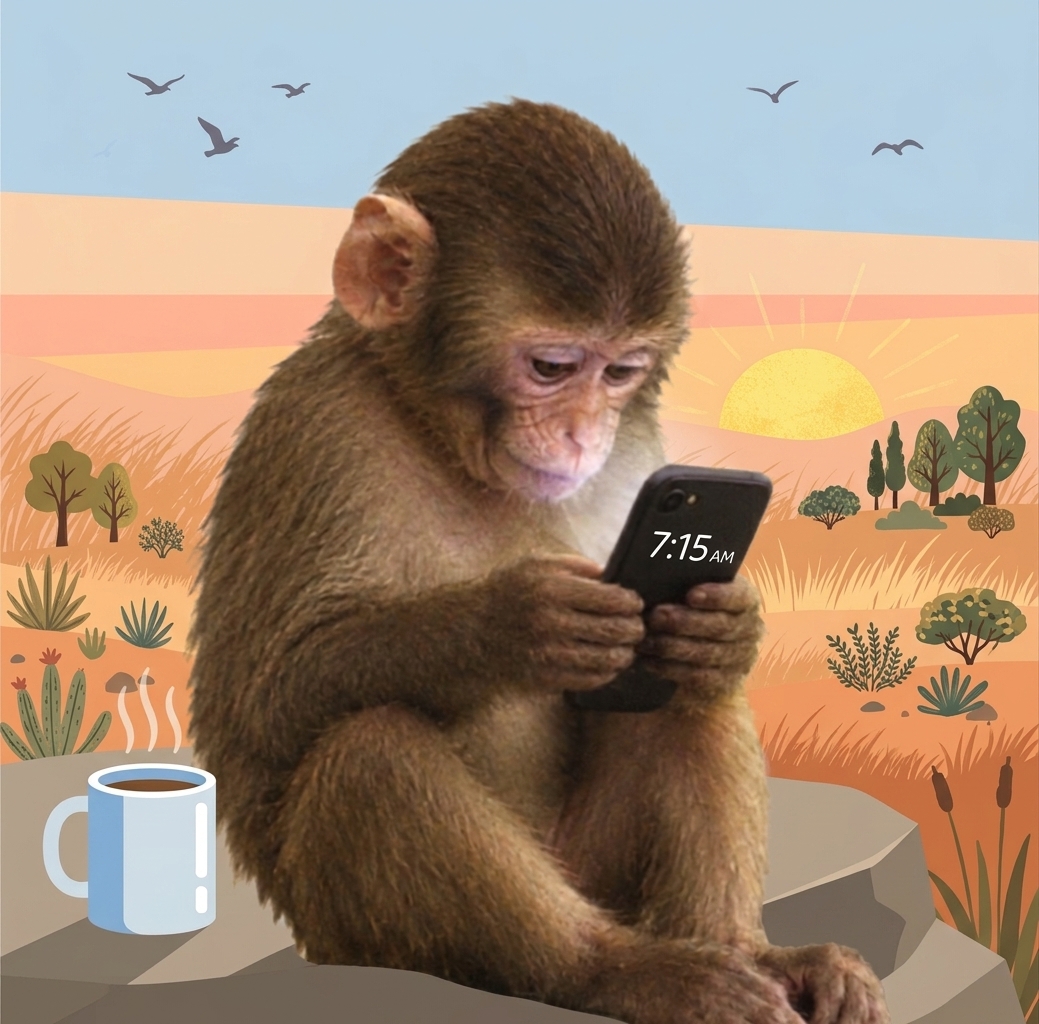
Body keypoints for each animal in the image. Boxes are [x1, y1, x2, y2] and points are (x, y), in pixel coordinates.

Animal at [188, 100, 889, 1024]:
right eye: (552, 367)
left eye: (621, 371)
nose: (581, 435)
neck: (433, 428)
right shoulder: (314, 425)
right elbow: (263, 704)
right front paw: (512, 622)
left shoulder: (639, 452)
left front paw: (728, 624)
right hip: (351, 932)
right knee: (370, 750)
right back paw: (609, 970)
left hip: (595, 866)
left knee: (683, 690)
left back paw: (747, 951)